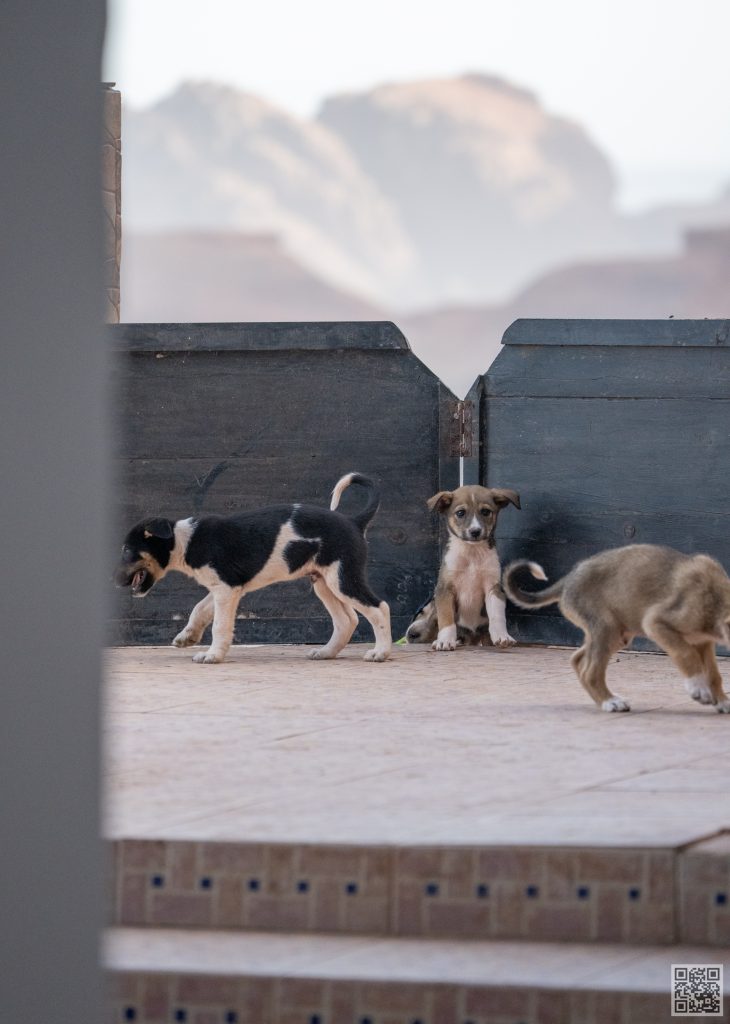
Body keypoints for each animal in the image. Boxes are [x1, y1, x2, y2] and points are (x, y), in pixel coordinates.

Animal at [113, 471, 391, 663]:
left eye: (126, 550)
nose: (114, 581)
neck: (186, 540)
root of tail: (354, 522)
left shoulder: (226, 589)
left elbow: (219, 625)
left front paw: (212, 656)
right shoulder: (225, 586)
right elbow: (199, 609)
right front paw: (187, 637)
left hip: (342, 578)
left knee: (379, 608)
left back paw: (380, 652)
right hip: (324, 582)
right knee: (347, 620)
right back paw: (326, 652)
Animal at [423, 485, 520, 647]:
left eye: (485, 512)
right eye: (460, 513)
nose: (475, 531)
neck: (472, 553)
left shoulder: (493, 589)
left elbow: (497, 616)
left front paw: (502, 636)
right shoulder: (445, 589)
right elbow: (446, 618)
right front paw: (445, 640)